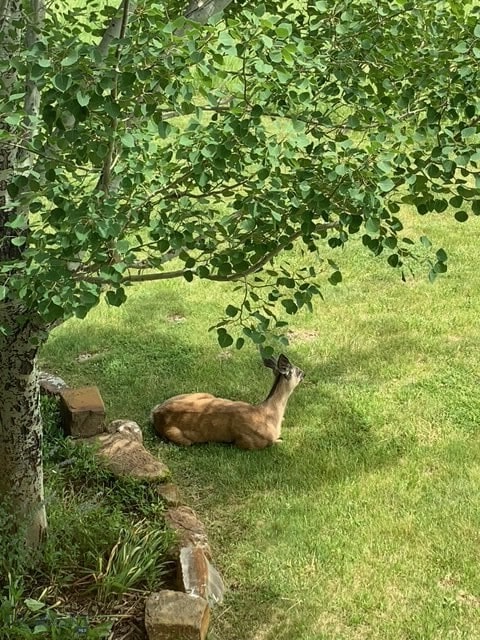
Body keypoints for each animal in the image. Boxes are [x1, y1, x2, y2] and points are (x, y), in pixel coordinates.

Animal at [152, 356, 306, 450]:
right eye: (298, 371)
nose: (305, 374)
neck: (267, 414)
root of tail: (155, 412)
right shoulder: (246, 442)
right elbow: (277, 442)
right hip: (181, 438)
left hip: (203, 394)